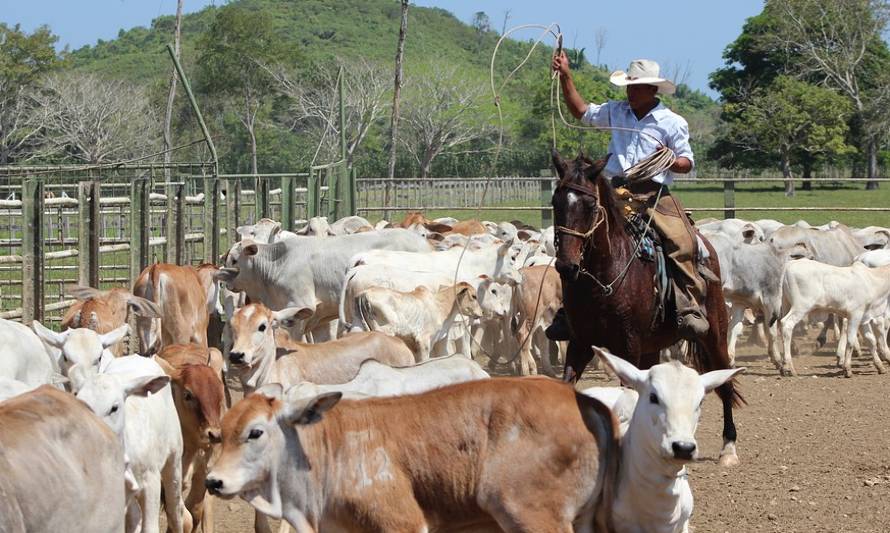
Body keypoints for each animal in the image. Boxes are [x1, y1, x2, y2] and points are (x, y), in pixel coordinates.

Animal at [153, 342, 224, 532]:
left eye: (220, 393)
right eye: (188, 395)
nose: (214, 434)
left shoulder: (203, 472)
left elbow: (195, 511)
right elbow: (184, 519)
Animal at [206, 376, 616, 528]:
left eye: (255, 432)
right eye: (220, 434)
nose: (213, 481)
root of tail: (581, 398)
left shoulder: (402, 522)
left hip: (528, 514)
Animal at [548, 150, 744, 466]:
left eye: (590, 206)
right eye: (556, 202)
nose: (567, 266)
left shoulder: (628, 345)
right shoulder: (579, 343)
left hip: (714, 333)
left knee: (725, 380)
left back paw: (729, 448)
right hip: (652, 346)